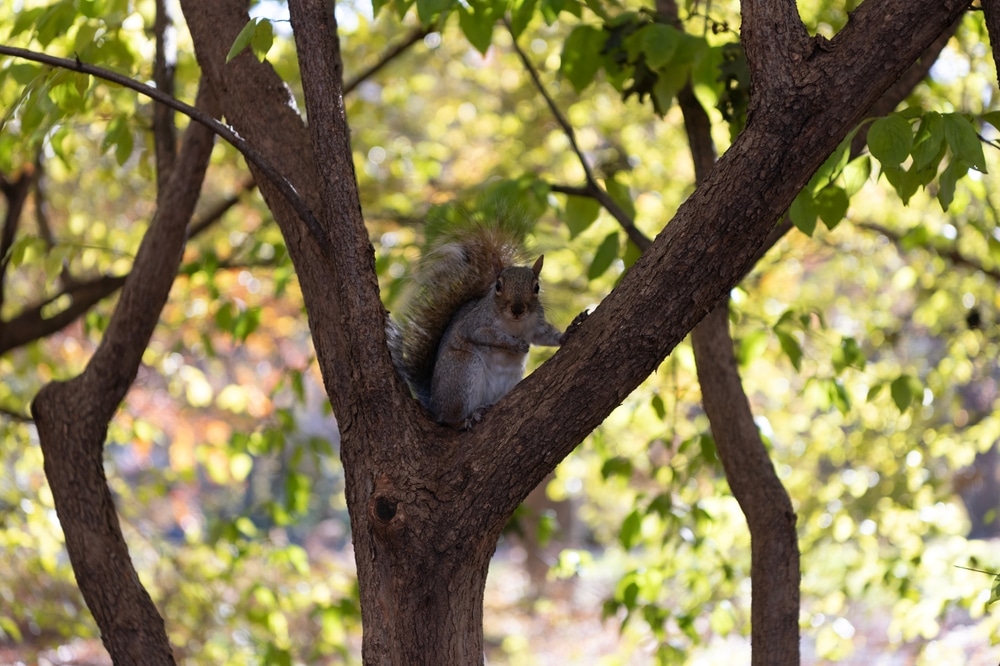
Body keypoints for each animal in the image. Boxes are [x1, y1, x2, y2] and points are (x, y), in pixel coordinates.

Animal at [396, 207, 563, 428]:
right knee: (451, 420)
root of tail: (434, 405)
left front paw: (567, 332)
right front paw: (513, 344)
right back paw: (468, 417)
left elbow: (545, 336)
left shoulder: (536, 325)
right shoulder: (475, 323)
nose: (517, 309)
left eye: (536, 287)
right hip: (463, 372)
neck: (515, 324)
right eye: (498, 285)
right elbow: (484, 335)